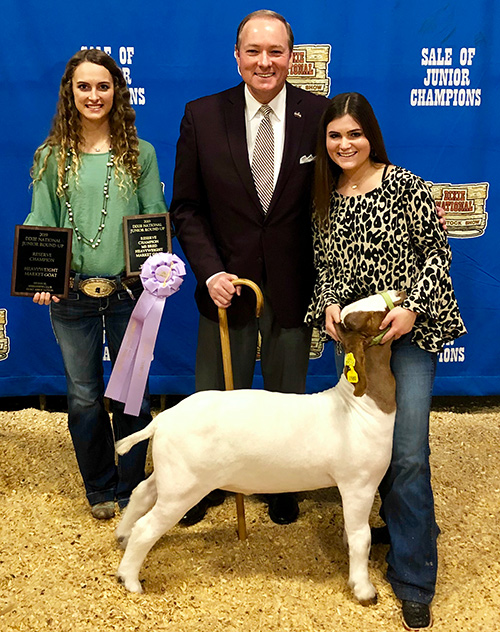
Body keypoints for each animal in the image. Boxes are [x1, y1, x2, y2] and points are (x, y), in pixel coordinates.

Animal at [115, 290, 404, 604]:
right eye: (369, 317)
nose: (400, 294)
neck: (357, 407)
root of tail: (163, 420)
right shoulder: (359, 484)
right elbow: (362, 536)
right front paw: (364, 589)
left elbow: (352, 533)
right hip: (184, 488)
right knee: (146, 527)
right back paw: (129, 579)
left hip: (171, 474)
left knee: (141, 492)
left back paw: (122, 536)